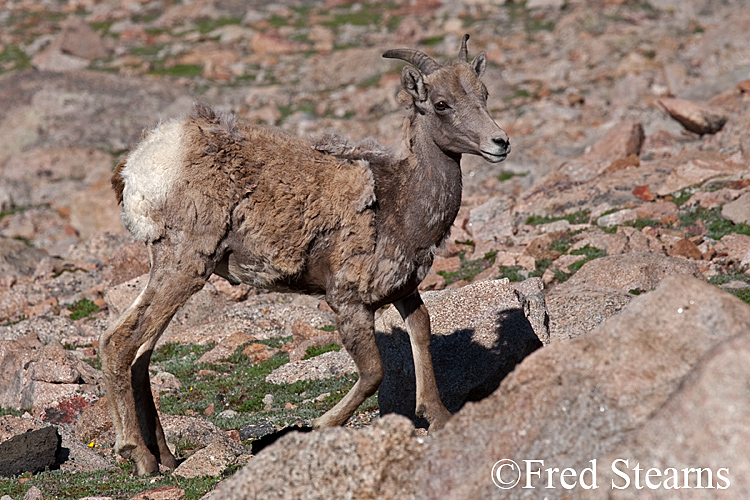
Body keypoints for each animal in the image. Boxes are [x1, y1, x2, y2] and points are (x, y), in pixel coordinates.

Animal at [100, 34, 512, 472]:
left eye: (484, 94)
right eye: (441, 103)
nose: (500, 143)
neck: (400, 202)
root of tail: (140, 166)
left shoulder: (403, 291)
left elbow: (421, 330)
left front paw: (439, 417)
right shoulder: (347, 301)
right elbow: (373, 373)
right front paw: (318, 426)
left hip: (173, 270)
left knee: (141, 354)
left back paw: (166, 456)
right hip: (183, 266)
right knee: (118, 342)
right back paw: (139, 456)